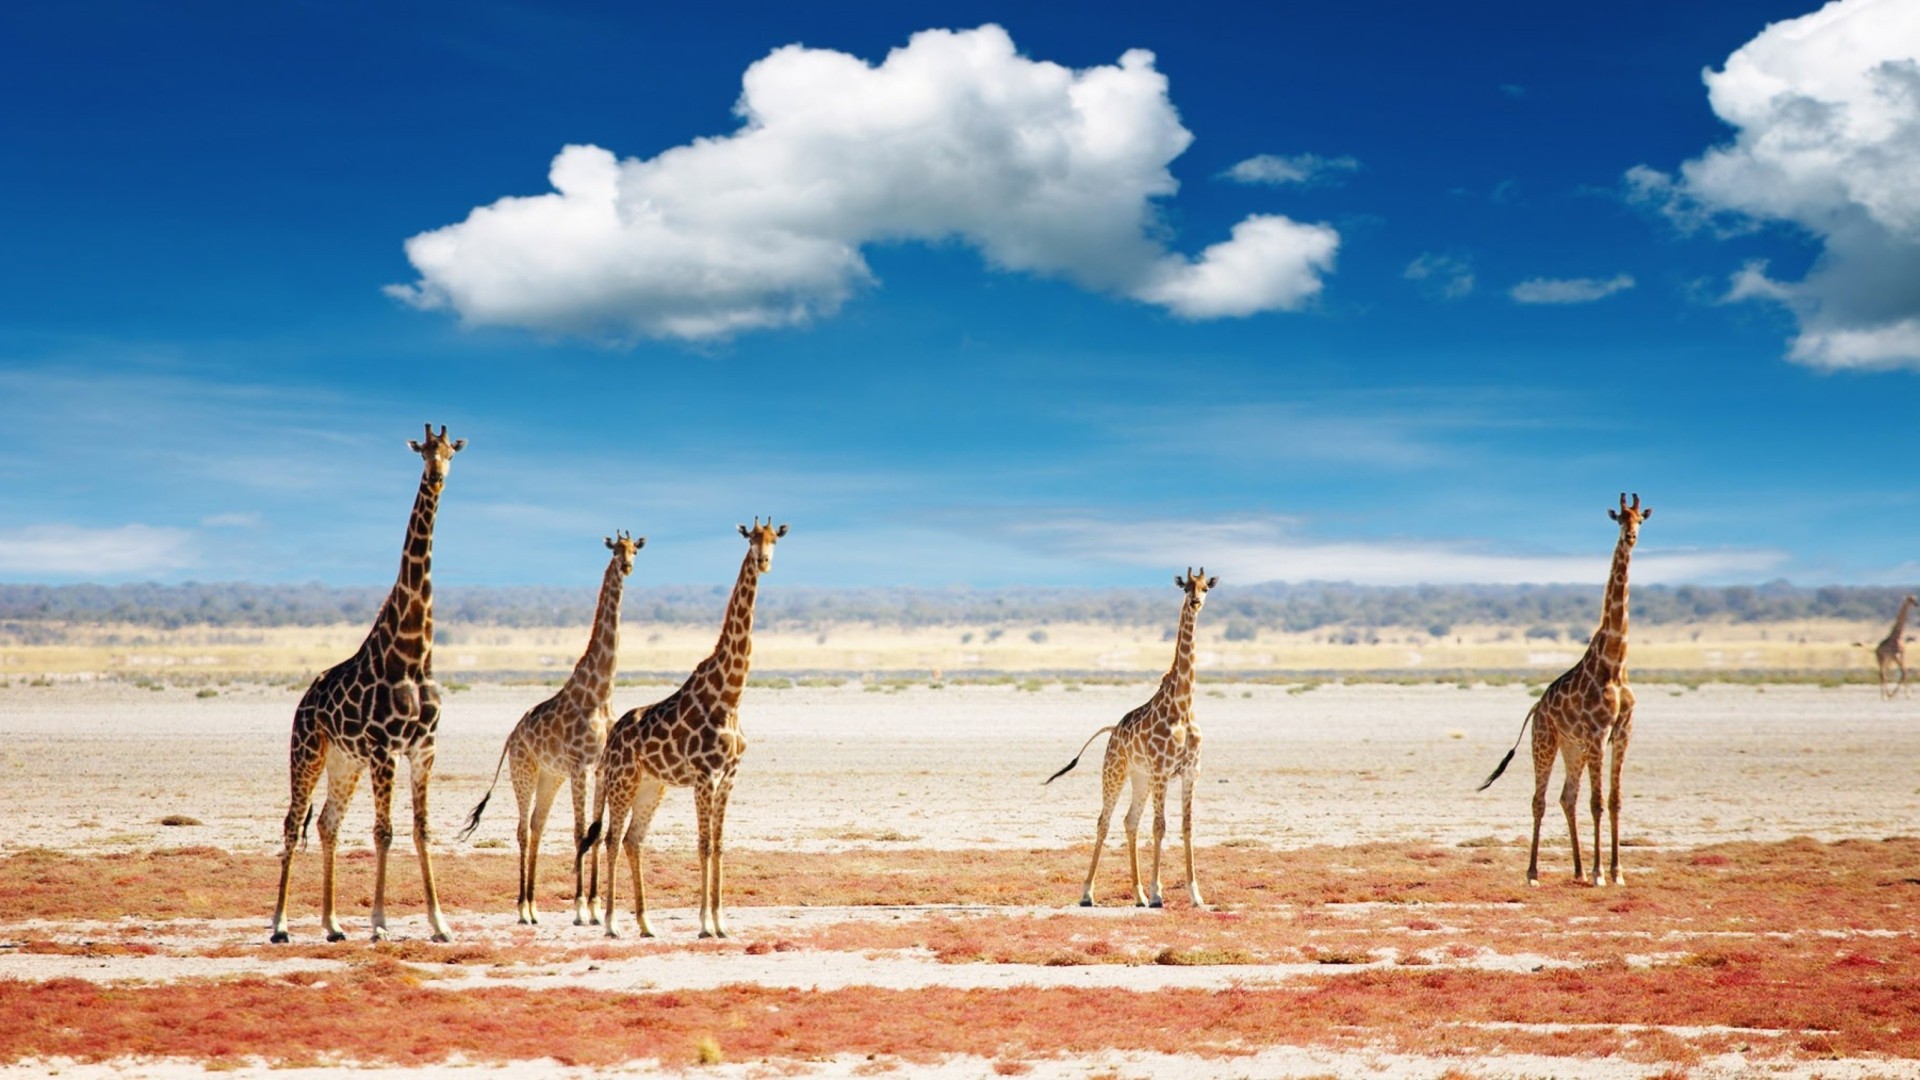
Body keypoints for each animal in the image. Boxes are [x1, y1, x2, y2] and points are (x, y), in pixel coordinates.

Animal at [269, 424, 465, 943]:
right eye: (423, 452)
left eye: (450, 452)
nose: (436, 477)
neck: (413, 654)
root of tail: (304, 701)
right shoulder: (384, 748)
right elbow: (385, 831)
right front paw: (378, 923)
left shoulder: (423, 748)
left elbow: (420, 829)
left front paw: (440, 923)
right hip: (308, 751)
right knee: (293, 821)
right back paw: (279, 925)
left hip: (344, 762)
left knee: (327, 824)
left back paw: (333, 924)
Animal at [458, 531, 645, 925]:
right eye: (615, 550)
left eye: (635, 549)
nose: (627, 566)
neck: (601, 692)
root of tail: (511, 736)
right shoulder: (580, 766)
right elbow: (579, 831)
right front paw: (579, 907)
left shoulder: (600, 768)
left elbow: (595, 831)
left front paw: (593, 905)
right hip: (524, 771)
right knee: (522, 829)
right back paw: (523, 907)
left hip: (549, 776)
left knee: (537, 826)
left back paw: (533, 906)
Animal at [581, 518, 788, 938]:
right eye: (751, 539)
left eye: (775, 539)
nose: (764, 561)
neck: (730, 697)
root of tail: (612, 739)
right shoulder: (705, 776)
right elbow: (703, 845)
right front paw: (706, 923)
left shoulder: (728, 777)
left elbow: (719, 844)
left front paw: (722, 922)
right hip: (622, 781)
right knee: (611, 839)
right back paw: (611, 923)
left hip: (651, 786)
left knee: (633, 840)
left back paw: (646, 923)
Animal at [1045, 568, 1216, 909]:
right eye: (1186, 587)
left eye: (1206, 588)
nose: (1196, 602)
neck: (1183, 706)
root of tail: (1113, 730)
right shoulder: (1163, 771)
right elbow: (1160, 826)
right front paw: (1158, 894)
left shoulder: (1191, 772)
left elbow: (1187, 827)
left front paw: (1195, 895)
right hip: (1115, 771)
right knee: (1104, 820)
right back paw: (1088, 893)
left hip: (1140, 778)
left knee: (1129, 820)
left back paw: (1137, 895)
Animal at [1479, 492, 1649, 888]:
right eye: (1619, 519)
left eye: (1641, 519)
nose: (1631, 537)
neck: (1615, 662)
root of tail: (1536, 708)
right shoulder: (1599, 733)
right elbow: (1597, 803)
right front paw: (1601, 873)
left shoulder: (1622, 733)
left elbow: (1614, 800)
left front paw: (1616, 872)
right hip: (1545, 741)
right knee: (1540, 800)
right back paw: (1534, 873)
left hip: (1573, 747)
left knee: (1566, 797)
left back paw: (1577, 869)